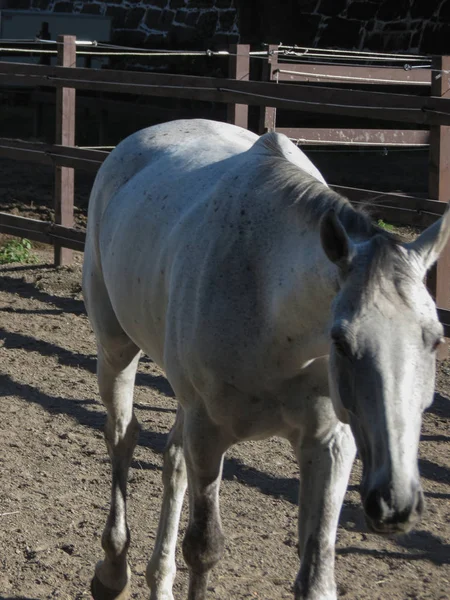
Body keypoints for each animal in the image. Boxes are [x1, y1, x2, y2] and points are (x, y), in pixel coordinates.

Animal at [81, 118, 450, 600]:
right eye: (341, 340)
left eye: (435, 340)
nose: (395, 503)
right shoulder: (209, 435)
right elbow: (203, 549)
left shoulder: (330, 445)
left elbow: (316, 578)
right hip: (117, 348)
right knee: (123, 436)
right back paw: (112, 569)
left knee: (173, 460)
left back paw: (157, 580)